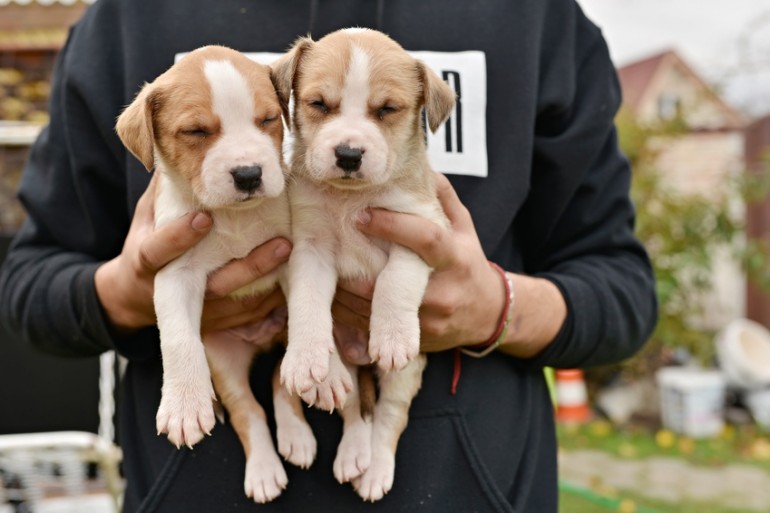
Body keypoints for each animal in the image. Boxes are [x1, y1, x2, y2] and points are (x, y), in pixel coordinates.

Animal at [113, 46, 316, 502]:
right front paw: (185, 405)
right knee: (248, 410)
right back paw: (264, 470)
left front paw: (314, 362)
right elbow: (177, 337)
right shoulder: (174, 273)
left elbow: (307, 309)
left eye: (268, 119)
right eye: (196, 131)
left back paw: (296, 435)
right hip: (223, 358)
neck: (234, 218)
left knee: (279, 379)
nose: (249, 174)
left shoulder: (291, 254)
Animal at [272, 29, 456, 500]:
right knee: (353, 406)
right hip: (349, 370)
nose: (349, 154)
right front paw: (306, 358)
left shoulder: (421, 230)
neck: (350, 199)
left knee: (388, 416)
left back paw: (373, 470)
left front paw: (390, 335)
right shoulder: (310, 250)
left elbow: (394, 280)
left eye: (386, 110)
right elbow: (308, 303)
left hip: (406, 375)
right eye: (319, 104)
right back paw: (350, 451)